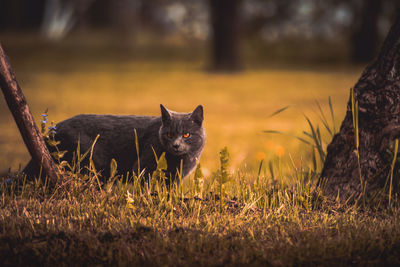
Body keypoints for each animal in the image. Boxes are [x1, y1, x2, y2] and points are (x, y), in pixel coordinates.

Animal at [23, 105, 206, 186]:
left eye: (186, 135)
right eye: (169, 135)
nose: (176, 145)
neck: (179, 161)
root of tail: (53, 130)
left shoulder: (175, 179)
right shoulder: (143, 167)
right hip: (92, 164)